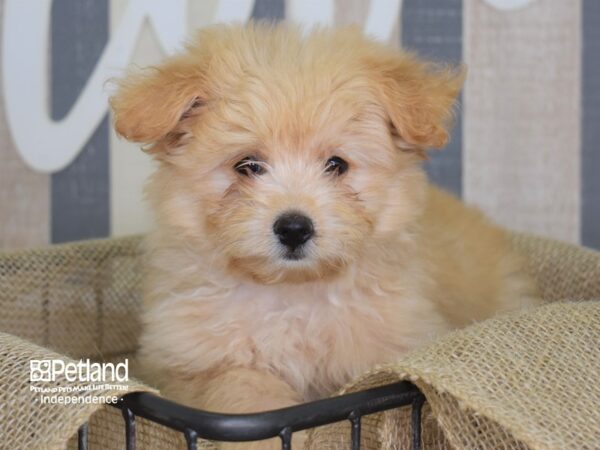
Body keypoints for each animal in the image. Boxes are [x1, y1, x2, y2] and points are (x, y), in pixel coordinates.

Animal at [110, 23, 540, 446]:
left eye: (337, 164)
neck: (294, 294)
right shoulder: (206, 360)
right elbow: (246, 393)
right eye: (247, 165)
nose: (294, 228)